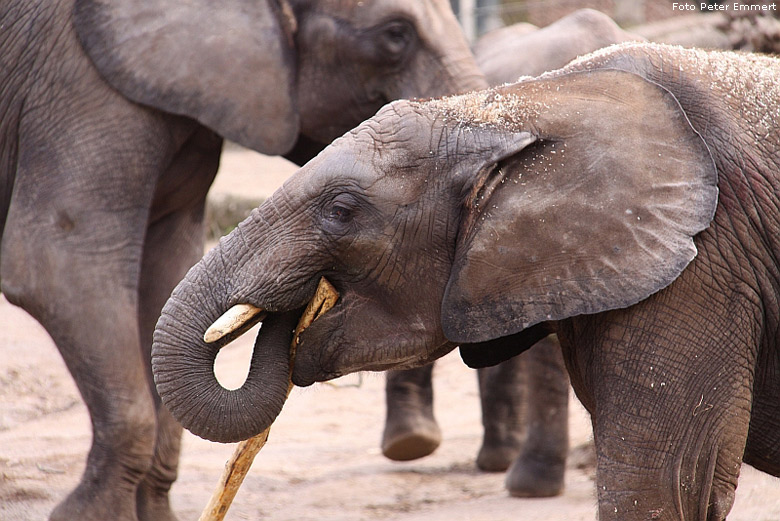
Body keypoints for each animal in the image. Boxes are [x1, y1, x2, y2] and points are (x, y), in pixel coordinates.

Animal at [0, 1, 482, 520]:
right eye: (396, 34)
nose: (305, 293)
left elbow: (163, 274)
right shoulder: (82, 87)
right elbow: (55, 266)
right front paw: (87, 516)